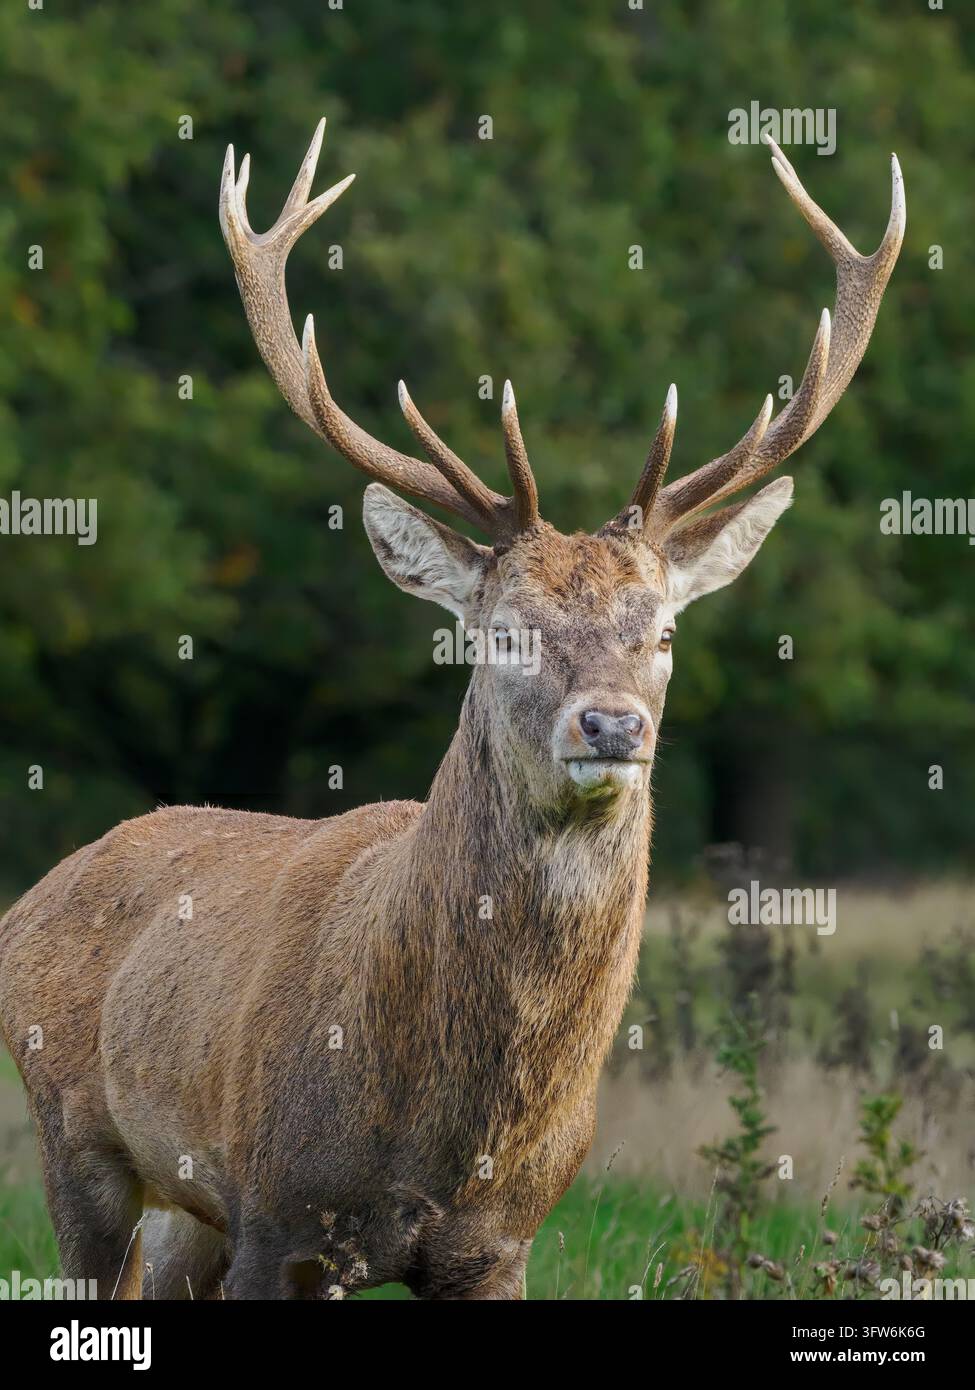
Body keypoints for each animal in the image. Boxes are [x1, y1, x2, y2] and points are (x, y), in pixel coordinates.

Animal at [0, 120, 903, 1300]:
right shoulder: (275, 1213)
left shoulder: (499, 1240)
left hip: (186, 1214)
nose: (612, 724)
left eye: (663, 632)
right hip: (77, 1140)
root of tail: (30, 901)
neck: (440, 1128)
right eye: (504, 629)